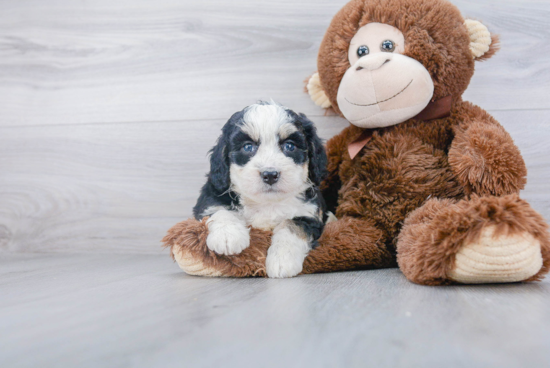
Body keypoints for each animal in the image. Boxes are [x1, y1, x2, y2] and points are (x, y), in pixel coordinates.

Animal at [194, 102, 328, 278]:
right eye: (247, 147)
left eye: (290, 146)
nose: (270, 174)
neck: (266, 203)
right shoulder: (211, 194)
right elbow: (219, 209)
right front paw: (227, 235)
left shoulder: (310, 215)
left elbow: (291, 226)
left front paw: (282, 259)